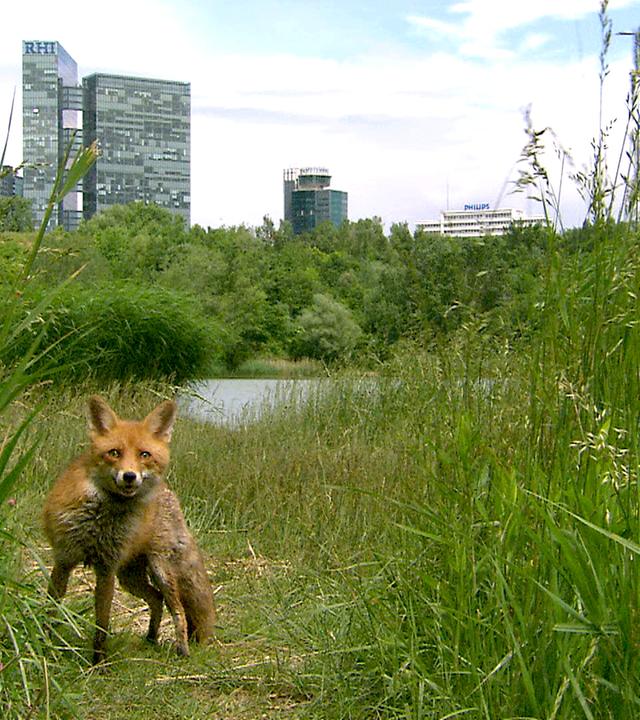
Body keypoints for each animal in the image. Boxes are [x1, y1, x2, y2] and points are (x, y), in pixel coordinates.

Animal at [43, 395, 216, 664]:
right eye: (114, 453)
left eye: (145, 454)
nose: (129, 476)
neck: (100, 520)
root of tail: (168, 492)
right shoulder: (64, 560)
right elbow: (51, 610)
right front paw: (45, 648)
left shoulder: (107, 570)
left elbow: (102, 625)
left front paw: (99, 664)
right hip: (130, 577)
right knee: (156, 599)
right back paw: (151, 638)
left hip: (160, 570)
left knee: (177, 609)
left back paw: (182, 650)